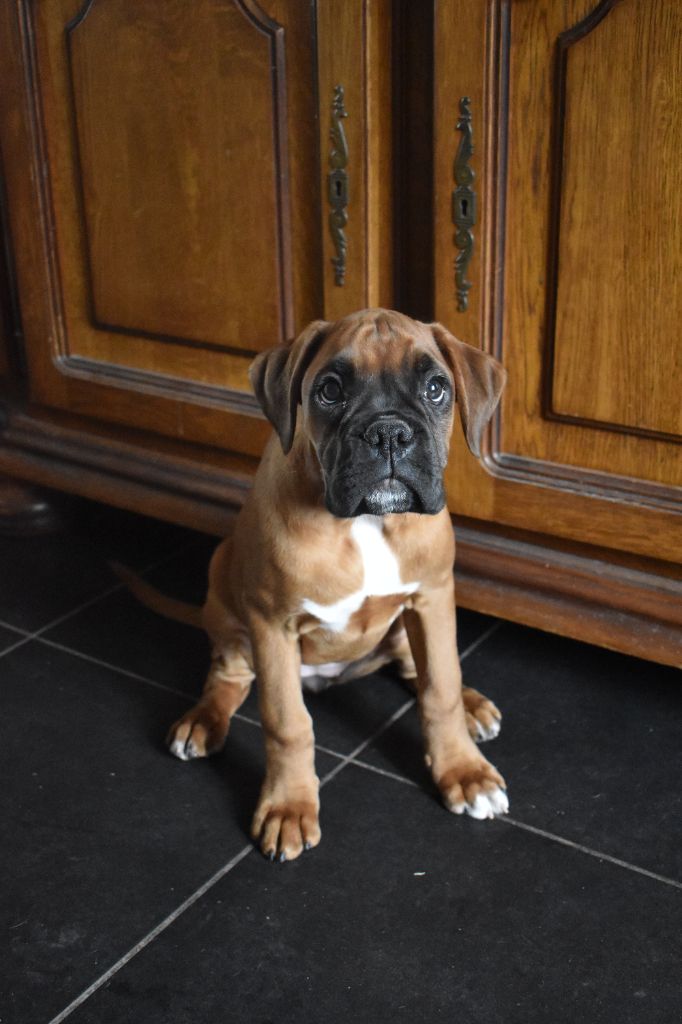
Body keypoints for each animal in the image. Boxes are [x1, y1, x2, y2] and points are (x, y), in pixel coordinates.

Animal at [163, 311, 503, 864]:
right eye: (329, 390)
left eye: (435, 388)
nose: (388, 433)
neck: (366, 523)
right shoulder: (272, 625)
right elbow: (287, 723)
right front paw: (288, 807)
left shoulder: (432, 598)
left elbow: (441, 687)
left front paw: (463, 770)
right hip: (225, 590)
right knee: (229, 674)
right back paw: (202, 721)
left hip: (407, 624)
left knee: (418, 668)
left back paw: (474, 706)